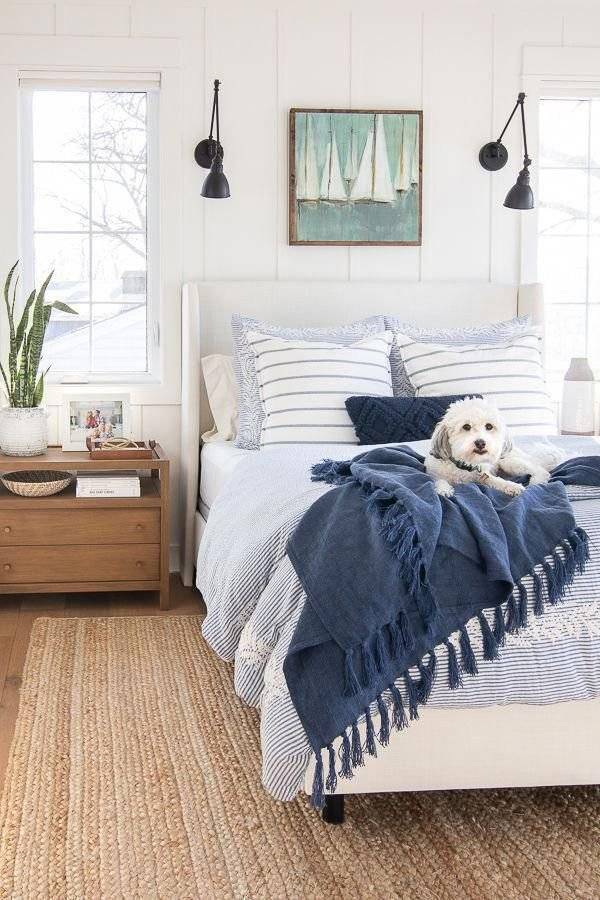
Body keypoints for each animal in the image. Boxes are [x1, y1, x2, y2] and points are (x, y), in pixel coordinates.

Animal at [426, 398, 556, 500]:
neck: (464, 464)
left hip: (508, 462)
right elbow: (440, 480)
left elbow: (497, 481)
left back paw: (535, 482)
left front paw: (513, 486)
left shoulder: (484, 476)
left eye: (489, 426)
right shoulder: (434, 474)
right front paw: (444, 489)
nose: (480, 443)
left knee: (541, 471)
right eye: (466, 426)